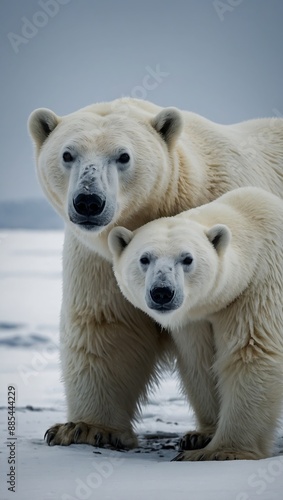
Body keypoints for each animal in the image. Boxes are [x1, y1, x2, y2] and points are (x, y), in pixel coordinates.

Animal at [108, 188, 283, 460]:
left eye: (187, 259)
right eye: (144, 258)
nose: (162, 292)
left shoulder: (258, 287)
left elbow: (251, 353)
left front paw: (220, 451)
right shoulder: (195, 319)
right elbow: (200, 361)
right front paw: (200, 436)